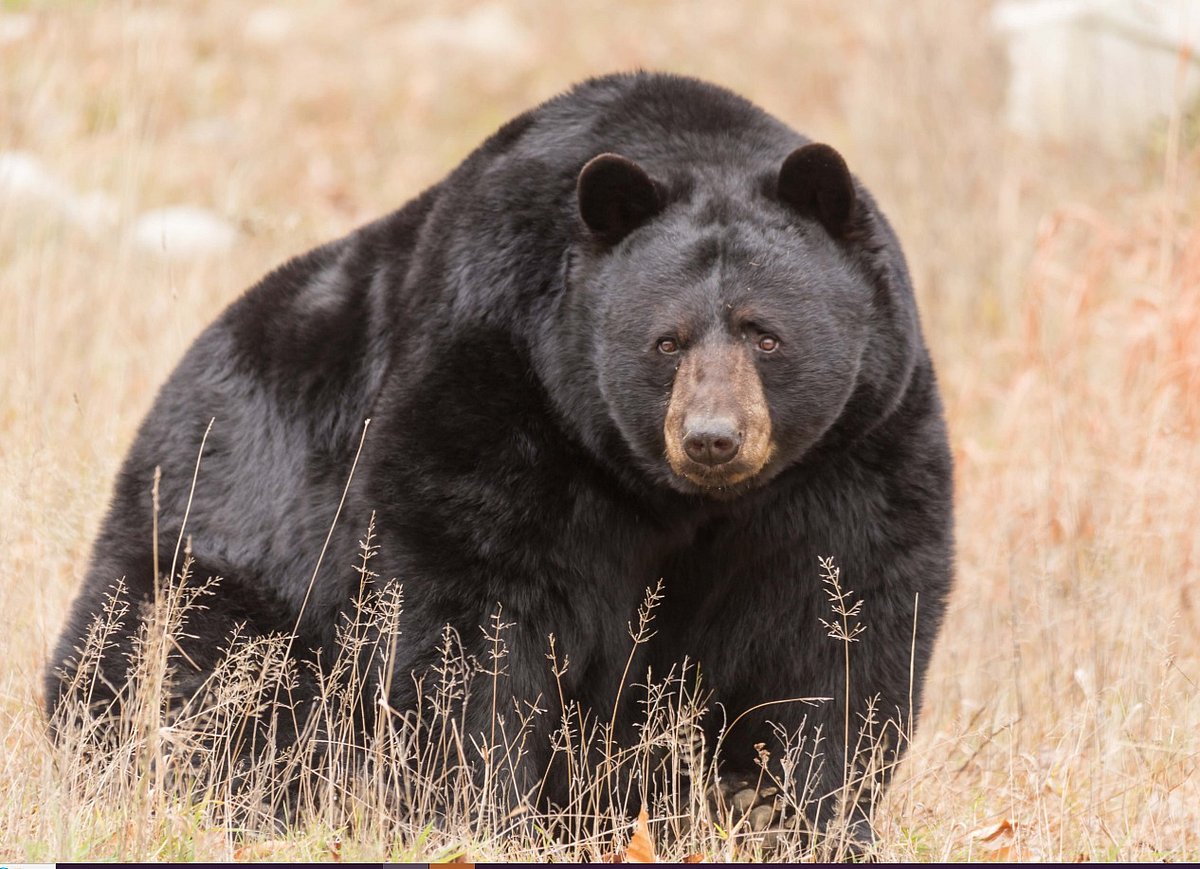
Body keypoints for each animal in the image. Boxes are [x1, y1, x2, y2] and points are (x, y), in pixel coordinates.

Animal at [45, 72, 954, 851]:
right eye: (666, 341)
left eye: (766, 334)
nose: (711, 438)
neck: (675, 495)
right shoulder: (496, 386)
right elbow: (470, 611)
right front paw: (482, 814)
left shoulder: (853, 448)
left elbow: (839, 623)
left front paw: (799, 816)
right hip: (214, 555)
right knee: (191, 673)